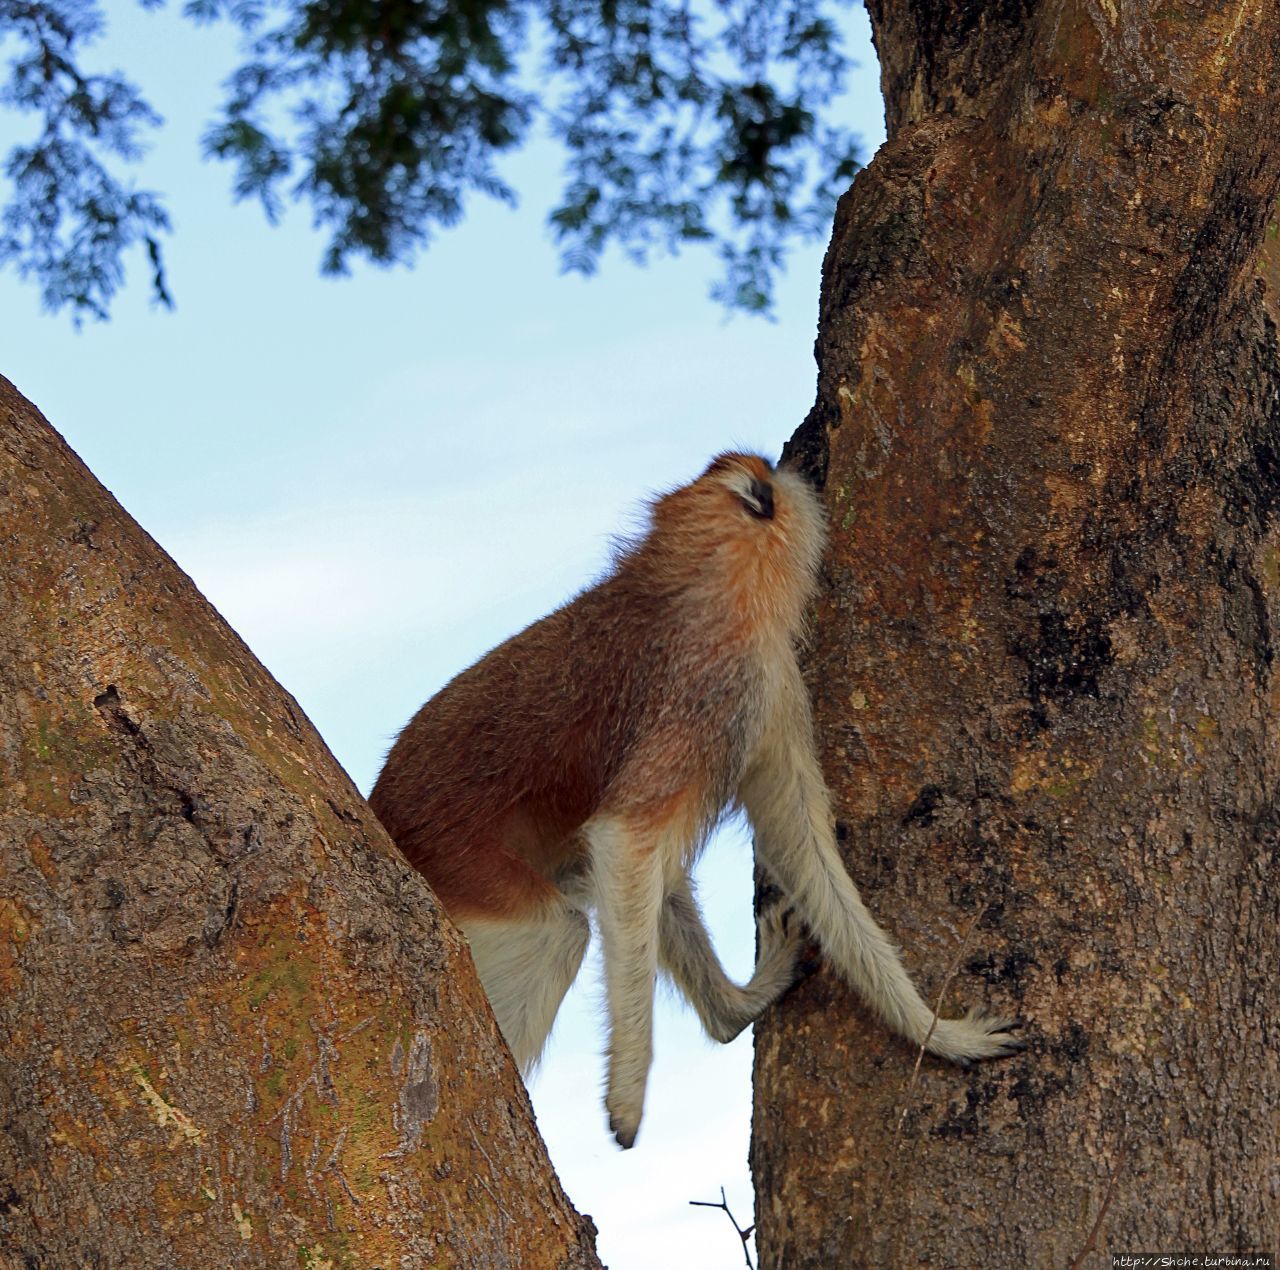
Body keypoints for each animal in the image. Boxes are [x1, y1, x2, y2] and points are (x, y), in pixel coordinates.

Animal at [371, 450, 1018, 1147]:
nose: (788, 469)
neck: (700, 576)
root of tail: (382, 804)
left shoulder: (766, 694)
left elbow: (801, 845)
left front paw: (937, 1034)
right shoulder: (716, 692)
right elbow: (625, 838)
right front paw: (627, 1099)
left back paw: (731, 1009)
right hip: (457, 858)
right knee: (560, 932)